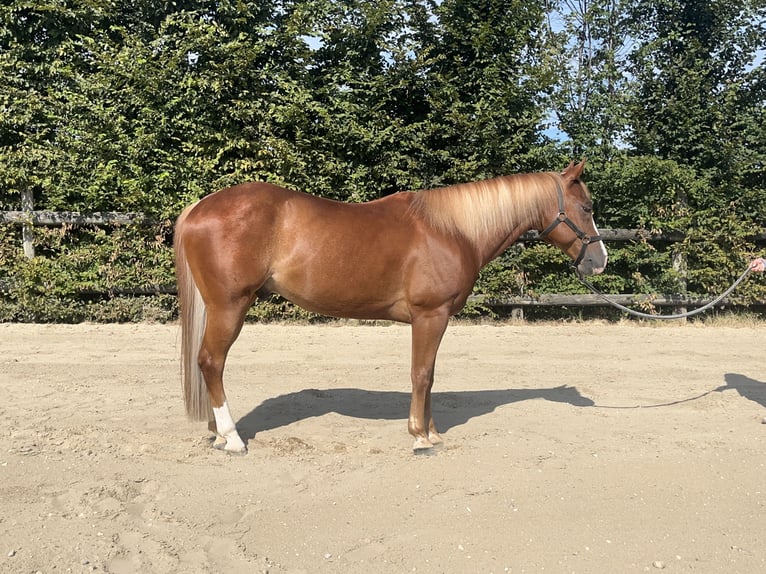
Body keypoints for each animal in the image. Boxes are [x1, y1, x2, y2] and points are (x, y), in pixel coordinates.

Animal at [176, 161, 612, 454]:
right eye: (587, 208)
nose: (599, 261)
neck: (453, 230)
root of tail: (200, 207)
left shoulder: (435, 320)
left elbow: (430, 376)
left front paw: (432, 432)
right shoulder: (430, 316)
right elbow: (421, 375)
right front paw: (420, 438)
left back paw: (217, 432)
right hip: (230, 306)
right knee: (211, 362)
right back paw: (232, 439)